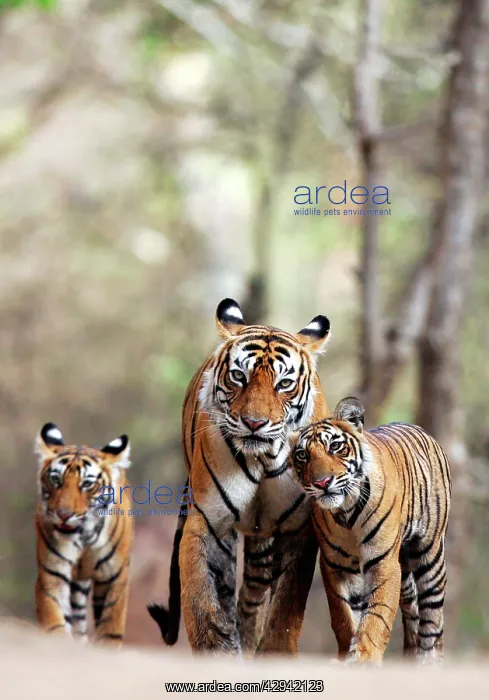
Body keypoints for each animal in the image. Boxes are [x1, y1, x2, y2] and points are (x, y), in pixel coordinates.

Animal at [35, 422, 133, 646]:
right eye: (55, 479)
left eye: (87, 484)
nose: (64, 515)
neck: (83, 536)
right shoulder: (52, 575)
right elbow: (55, 623)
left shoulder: (114, 577)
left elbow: (110, 626)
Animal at [148, 298, 331, 655]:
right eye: (238, 376)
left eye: (284, 384)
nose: (254, 423)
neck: (263, 457)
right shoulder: (209, 521)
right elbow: (204, 600)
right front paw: (217, 649)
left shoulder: (299, 529)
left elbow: (286, 607)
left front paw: (274, 651)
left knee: (254, 596)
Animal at [290, 397, 451, 664]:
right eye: (302, 455)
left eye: (335, 446)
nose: (322, 483)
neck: (346, 511)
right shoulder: (335, 566)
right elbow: (343, 615)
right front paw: (347, 653)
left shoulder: (383, 562)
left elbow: (378, 612)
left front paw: (364, 655)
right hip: (405, 573)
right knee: (413, 612)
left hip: (430, 555)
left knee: (433, 616)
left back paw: (429, 660)